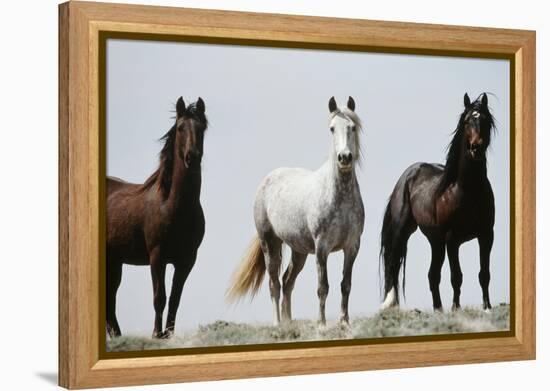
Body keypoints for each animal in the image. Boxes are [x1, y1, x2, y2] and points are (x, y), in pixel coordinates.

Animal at [106, 96, 208, 338]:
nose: (192, 157)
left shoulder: (187, 260)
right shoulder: (157, 256)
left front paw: (168, 335)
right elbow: (159, 297)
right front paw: (155, 334)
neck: (173, 206)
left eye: (202, 128)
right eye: (180, 128)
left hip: (115, 261)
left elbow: (175, 299)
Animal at [229, 96, 366, 326]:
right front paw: (321, 324)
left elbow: (345, 285)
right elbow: (323, 287)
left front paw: (344, 322)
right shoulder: (322, 248)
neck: (339, 197)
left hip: (299, 251)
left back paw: (288, 322)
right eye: (331, 128)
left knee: (287, 281)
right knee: (274, 284)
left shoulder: (352, 246)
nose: (344, 158)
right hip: (270, 243)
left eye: (352, 127)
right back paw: (278, 324)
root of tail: (267, 180)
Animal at [382, 92, 498, 312]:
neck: (467, 190)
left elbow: (484, 274)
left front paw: (486, 307)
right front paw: (456, 308)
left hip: (435, 241)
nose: (476, 148)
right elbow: (456, 276)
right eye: (467, 121)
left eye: (486, 120)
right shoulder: (452, 239)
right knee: (393, 264)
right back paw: (391, 304)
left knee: (432, 275)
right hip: (404, 232)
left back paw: (438, 309)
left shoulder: (486, 235)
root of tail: (405, 177)